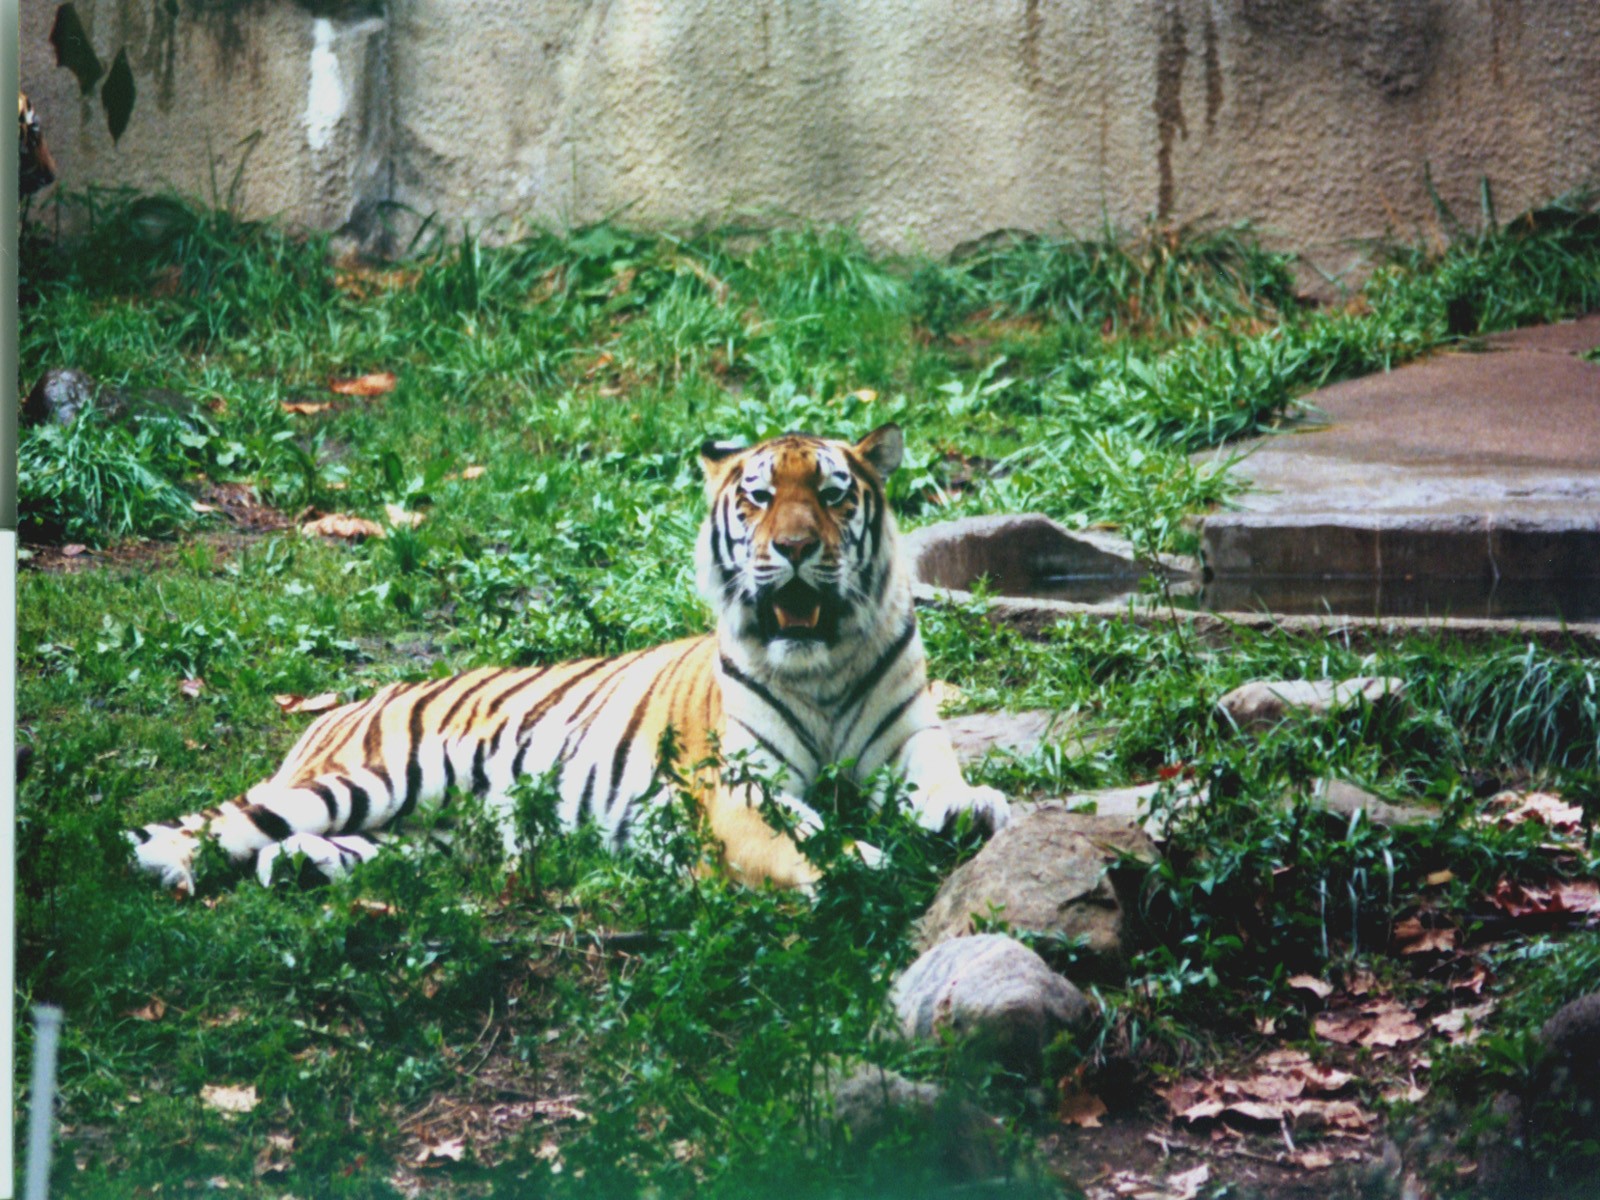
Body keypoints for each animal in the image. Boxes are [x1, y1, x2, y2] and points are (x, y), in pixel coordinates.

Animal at [129, 424, 1010, 895]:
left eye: (831, 495)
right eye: (759, 498)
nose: (793, 549)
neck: (818, 663)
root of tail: (342, 705)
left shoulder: (907, 747)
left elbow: (943, 785)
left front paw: (973, 810)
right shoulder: (737, 790)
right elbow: (811, 844)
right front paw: (868, 862)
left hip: (429, 834)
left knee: (292, 849)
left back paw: (297, 871)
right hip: (365, 779)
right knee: (222, 825)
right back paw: (166, 864)